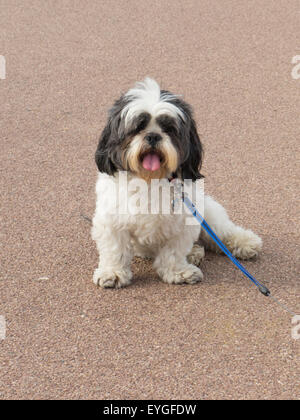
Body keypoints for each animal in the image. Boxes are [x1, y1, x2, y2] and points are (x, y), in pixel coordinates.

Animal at [90, 78, 262, 288]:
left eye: (169, 129)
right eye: (138, 127)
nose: (153, 135)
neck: (150, 179)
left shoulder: (183, 221)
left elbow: (173, 252)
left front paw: (178, 272)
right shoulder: (112, 220)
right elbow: (115, 250)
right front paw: (112, 272)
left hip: (207, 212)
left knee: (222, 232)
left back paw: (243, 242)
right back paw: (195, 252)